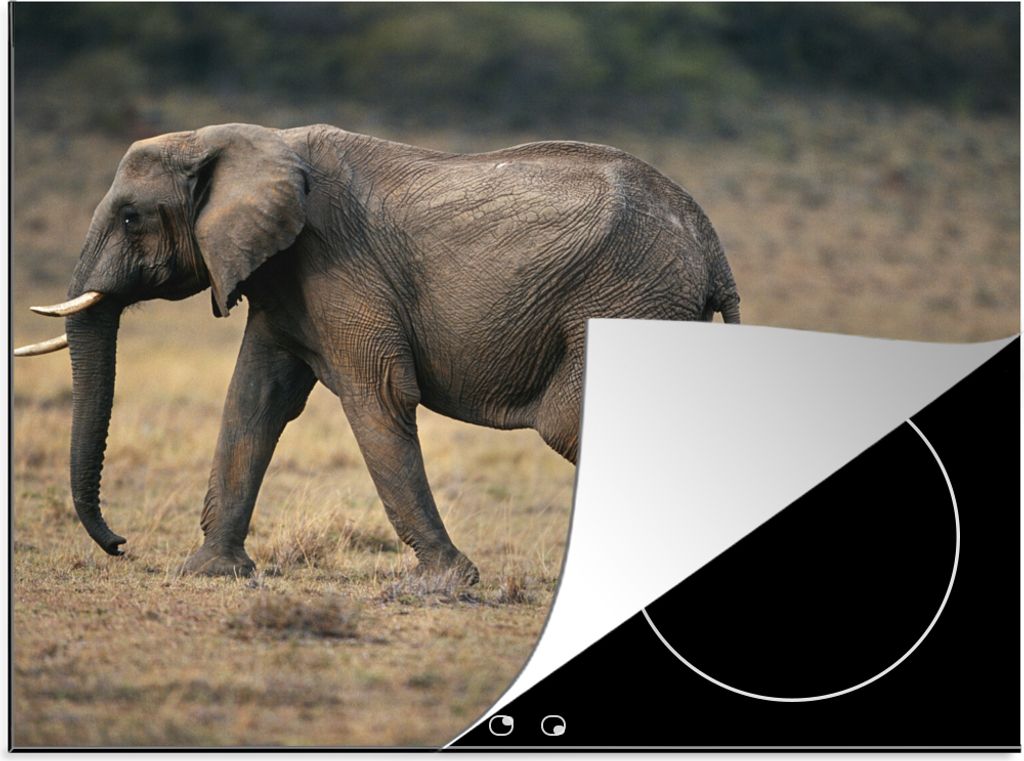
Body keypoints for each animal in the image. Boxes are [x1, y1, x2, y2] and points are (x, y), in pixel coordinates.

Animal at [16, 123, 741, 581]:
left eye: (132, 217)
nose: (120, 544)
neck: (238, 140)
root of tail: (712, 247)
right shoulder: (284, 280)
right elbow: (255, 399)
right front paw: (210, 573)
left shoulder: (336, 262)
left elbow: (379, 395)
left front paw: (444, 583)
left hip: (626, 299)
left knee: (575, 425)